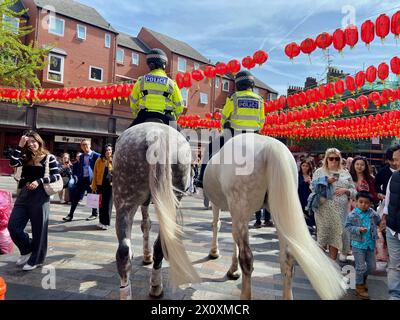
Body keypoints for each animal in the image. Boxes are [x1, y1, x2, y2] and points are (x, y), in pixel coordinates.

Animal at [112, 123, 200, 300]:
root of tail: (155, 136)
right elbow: (147, 224)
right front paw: (147, 256)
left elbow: (145, 224)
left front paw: (146, 256)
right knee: (158, 246)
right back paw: (156, 286)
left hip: (124, 196)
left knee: (124, 252)